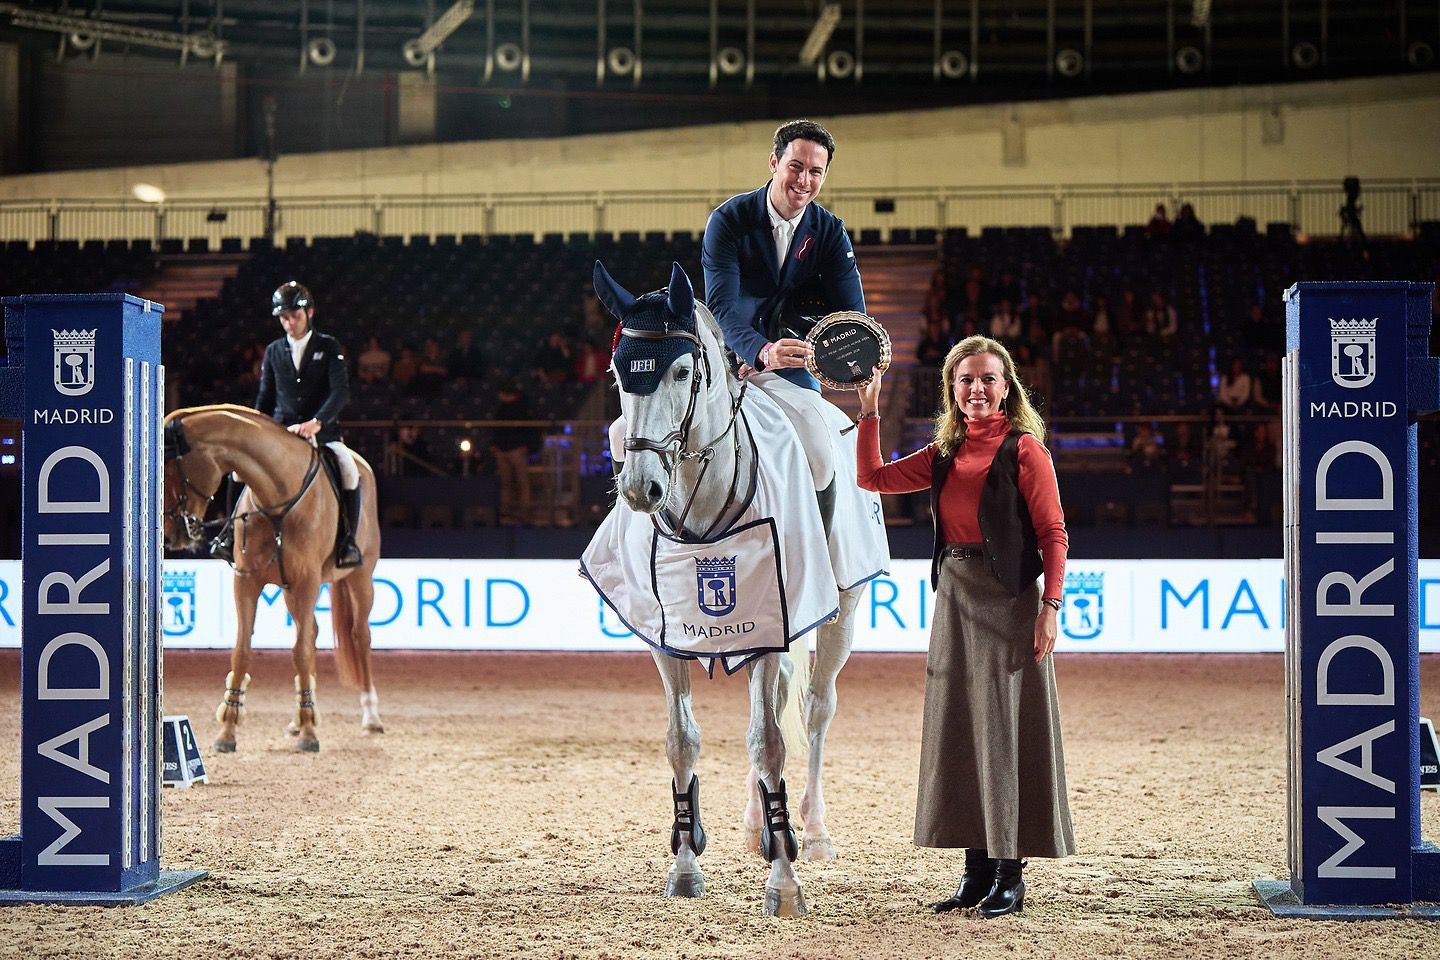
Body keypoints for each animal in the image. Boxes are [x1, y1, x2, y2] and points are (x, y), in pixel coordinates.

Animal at [162, 402, 383, 748]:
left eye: (171, 466)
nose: (173, 534)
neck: (277, 498)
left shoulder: (306, 581)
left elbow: (300, 652)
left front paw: (309, 734)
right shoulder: (247, 580)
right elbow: (242, 651)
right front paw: (228, 730)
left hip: (359, 578)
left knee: (360, 635)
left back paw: (370, 717)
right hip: (290, 590)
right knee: (313, 632)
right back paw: (300, 716)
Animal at [584, 260, 864, 915]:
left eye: (683, 371)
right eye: (619, 374)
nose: (640, 488)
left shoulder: (769, 627)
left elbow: (768, 742)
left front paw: (783, 882)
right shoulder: (664, 635)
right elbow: (682, 740)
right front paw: (686, 865)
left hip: (839, 609)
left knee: (814, 708)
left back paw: (812, 832)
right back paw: (756, 824)